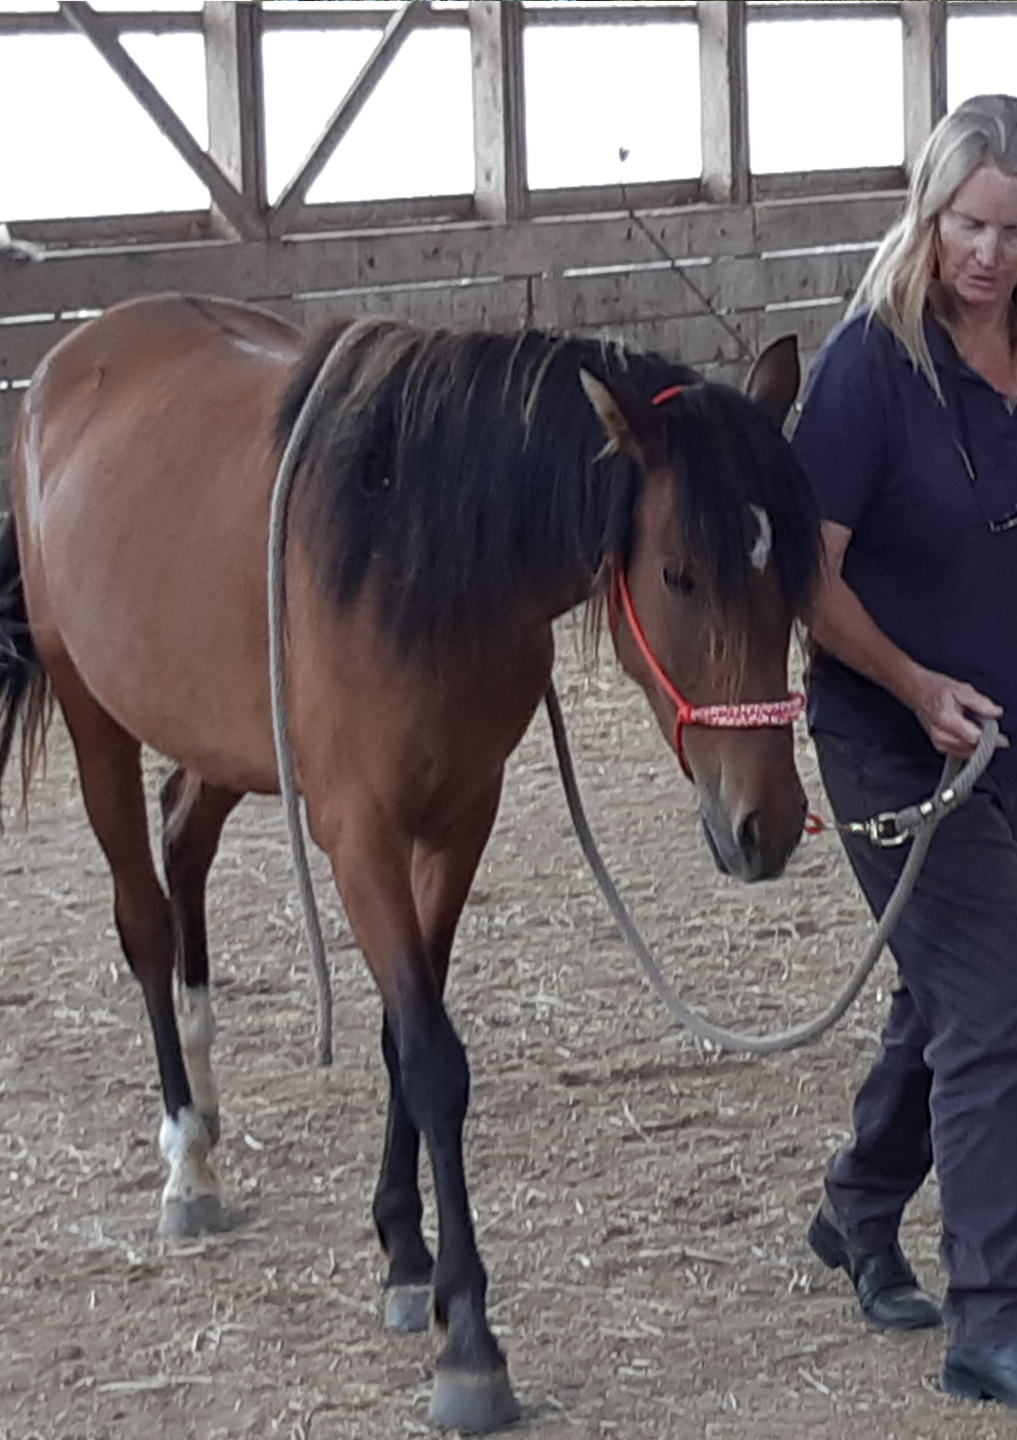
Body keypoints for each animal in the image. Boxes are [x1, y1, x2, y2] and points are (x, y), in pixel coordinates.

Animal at [0, 293, 819, 1433]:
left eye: (792, 577)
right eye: (679, 574)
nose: (766, 824)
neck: (419, 556)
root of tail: (75, 355)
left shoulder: (460, 821)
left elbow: (403, 1039)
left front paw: (402, 1252)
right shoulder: (362, 839)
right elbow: (432, 1059)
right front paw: (468, 1339)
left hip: (227, 734)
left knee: (184, 834)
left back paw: (206, 1096)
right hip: (95, 720)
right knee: (145, 920)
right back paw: (186, 1158)